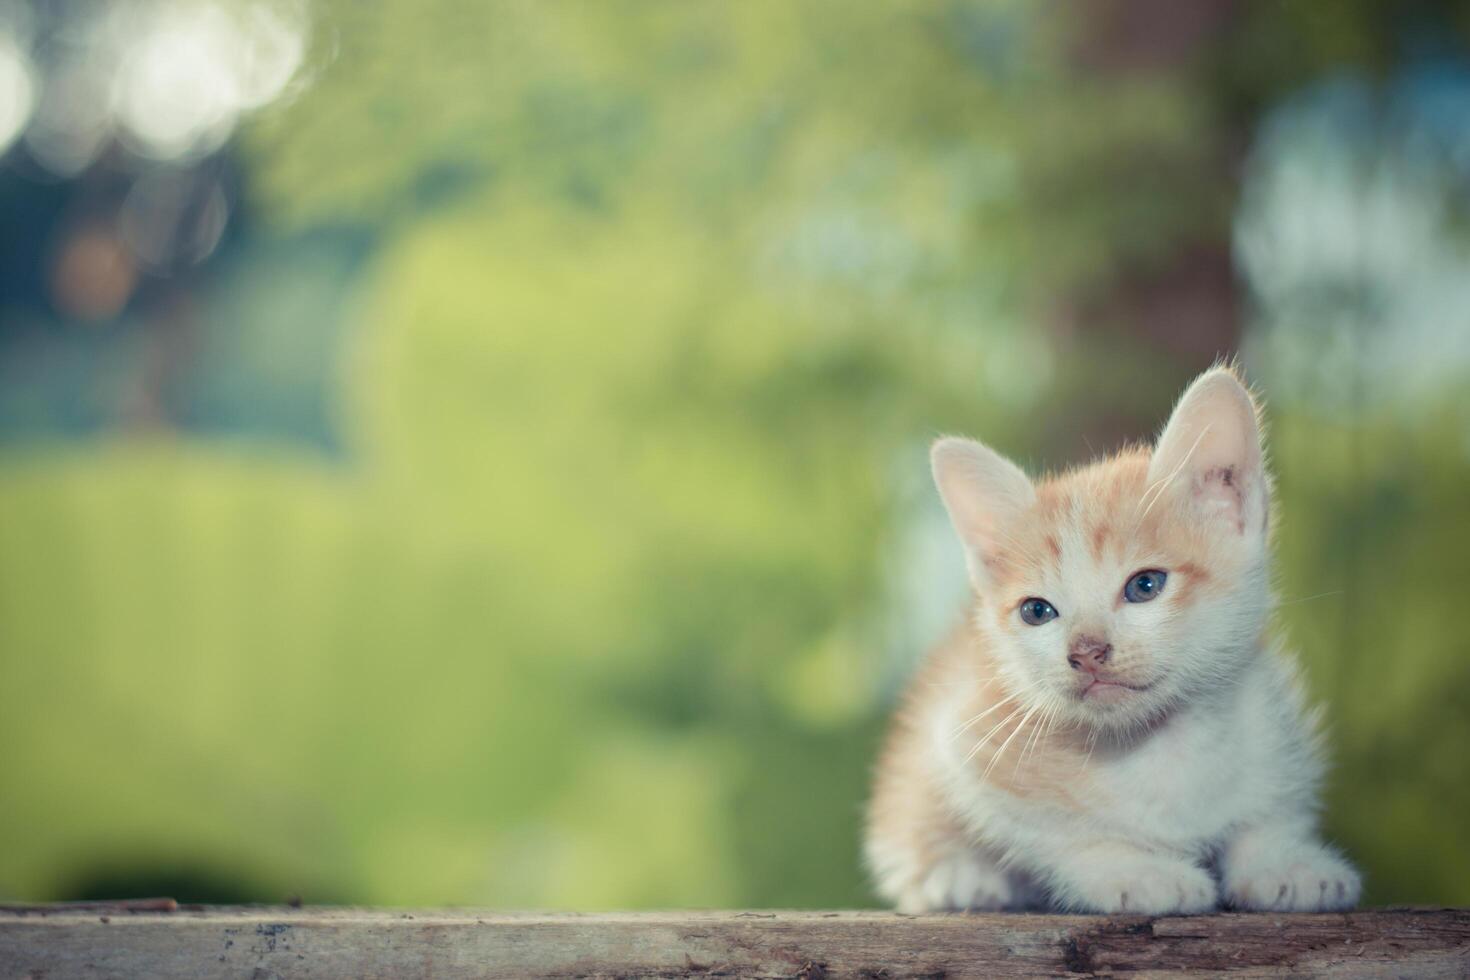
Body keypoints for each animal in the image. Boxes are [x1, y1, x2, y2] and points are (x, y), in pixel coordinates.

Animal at [864, 364, 1358, 916]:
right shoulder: (966, 735)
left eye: (1145, 585)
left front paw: (1283, 862)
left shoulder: (1274, 723)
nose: (1086, 651)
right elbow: (1061, 832)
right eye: (1037, 611)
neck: (1156, 747)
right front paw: (1138, 870)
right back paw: (959, 875)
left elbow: (1272, 807)